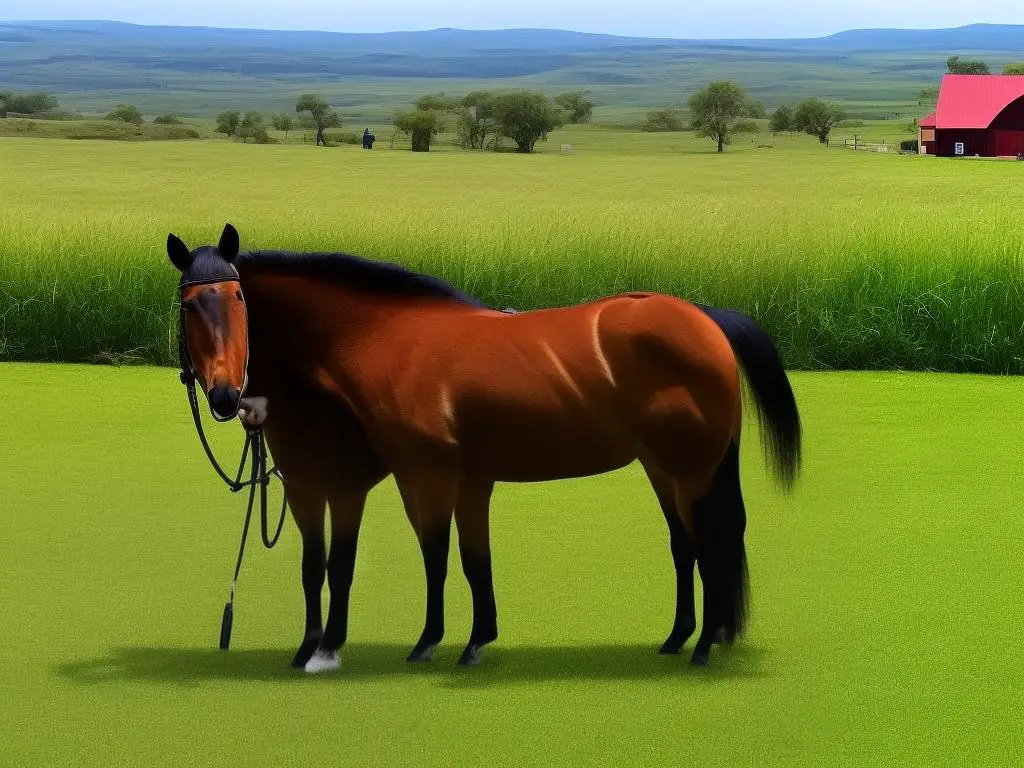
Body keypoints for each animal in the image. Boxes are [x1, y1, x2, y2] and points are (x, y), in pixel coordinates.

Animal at [167, 222, 802, 671]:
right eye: (189, 305)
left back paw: (702, 648)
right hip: (663, 468)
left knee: (710, 537)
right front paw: (476, 642)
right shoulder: (466, 479)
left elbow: (435, 554)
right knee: (684, 543)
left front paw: (427, 643)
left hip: (690, 469)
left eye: (237, 299)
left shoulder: (424, 474)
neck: (388, 340)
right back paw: (678, 639)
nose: (224, 394)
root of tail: (705, 319)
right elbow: (473, 558)